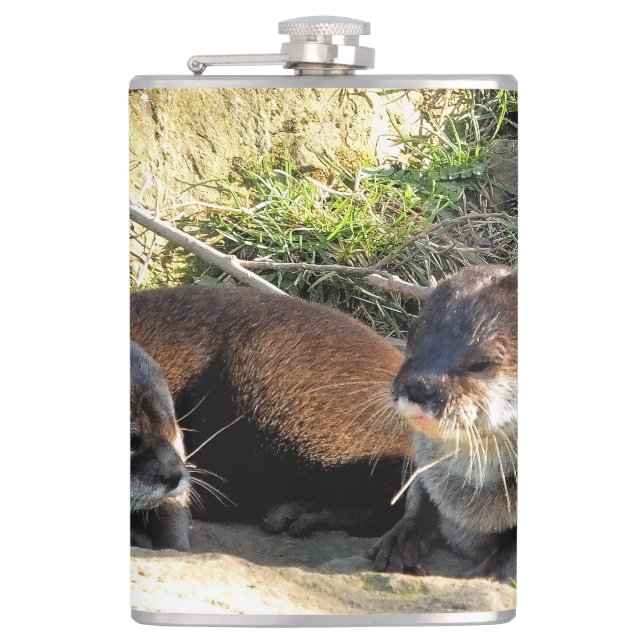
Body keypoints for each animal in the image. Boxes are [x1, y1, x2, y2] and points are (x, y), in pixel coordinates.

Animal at [368, 266, 517, 579]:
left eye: (480, 363)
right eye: (412, 336)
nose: (419, 387)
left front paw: (487, 575)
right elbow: (420, 499)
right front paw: (399, 540)